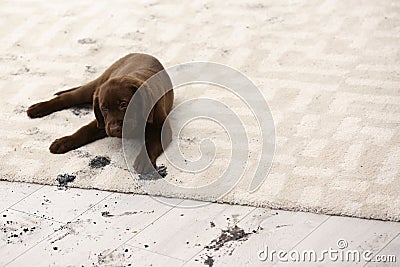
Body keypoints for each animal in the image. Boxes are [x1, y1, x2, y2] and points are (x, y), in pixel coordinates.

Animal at [26, 54, 173, 175]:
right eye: (104, 108)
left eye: (124, 104)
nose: (114, 129)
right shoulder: (102, 122)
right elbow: (84, 130)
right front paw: (64, 141)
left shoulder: (162, 128)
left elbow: (151, 144)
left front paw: (143, 161)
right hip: (95, 86)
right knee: (68, 97)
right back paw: (37, 108)